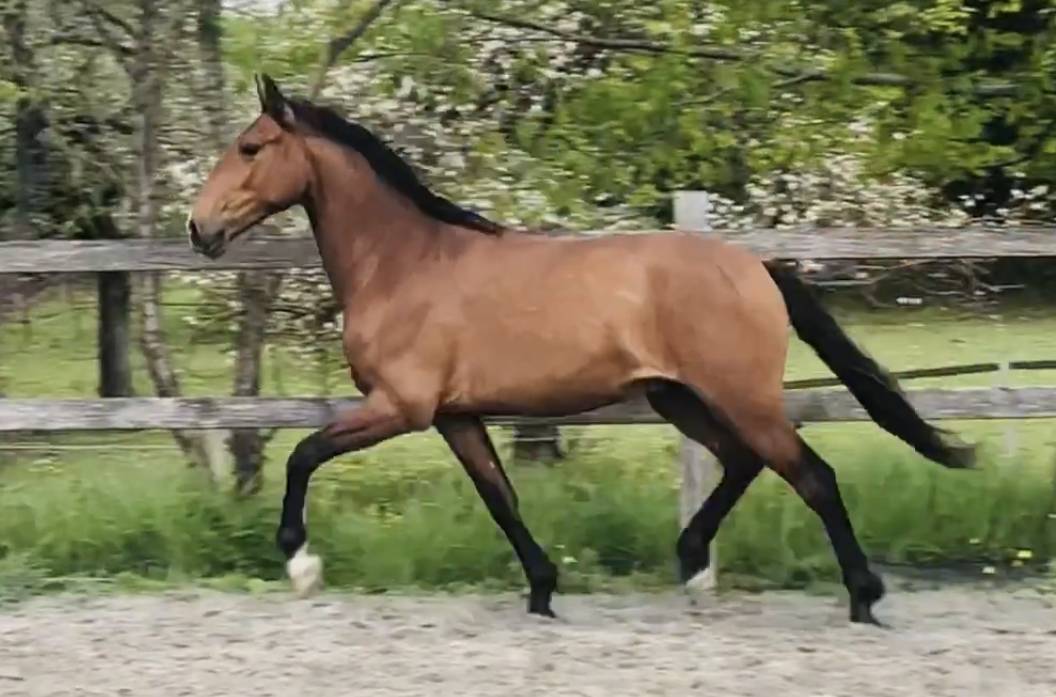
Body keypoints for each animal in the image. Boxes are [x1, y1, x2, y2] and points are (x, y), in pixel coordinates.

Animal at [187, 74, 974, 625]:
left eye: (251, 148)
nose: (199, 228)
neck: (406, 263)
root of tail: (756, 266)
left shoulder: (401, 407)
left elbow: (302, 453)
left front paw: (301, 561)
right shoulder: (455, 416)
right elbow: (500, 497)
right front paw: (542, 590)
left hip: (739, 396)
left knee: (813, 475)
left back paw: (863, 596)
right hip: (680, 396)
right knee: (745, 463)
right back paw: (694, 563)